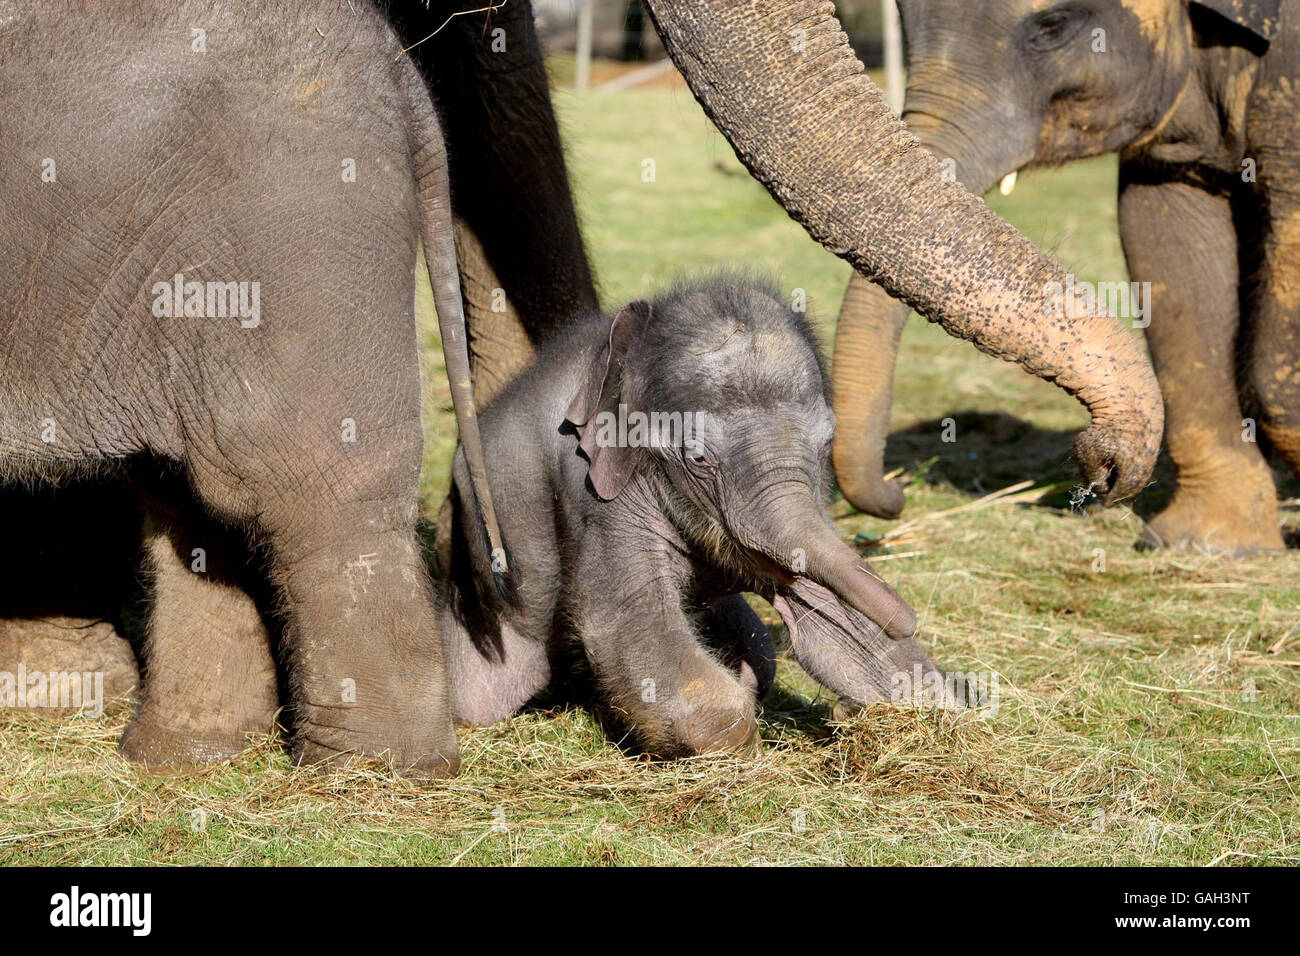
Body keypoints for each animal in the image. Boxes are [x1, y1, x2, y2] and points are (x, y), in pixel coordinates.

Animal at [0, 0, 510, 775]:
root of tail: (397, 70)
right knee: (193, 493)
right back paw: (185, 755)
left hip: (293, 236)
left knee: (310, 481)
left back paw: (370, 775)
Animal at [437, 277, 947, 756]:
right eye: (699, 459)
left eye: (825, 445)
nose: (907, 619)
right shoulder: (591, 488)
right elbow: (631, 628)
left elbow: (830, 629)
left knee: (763, 654)